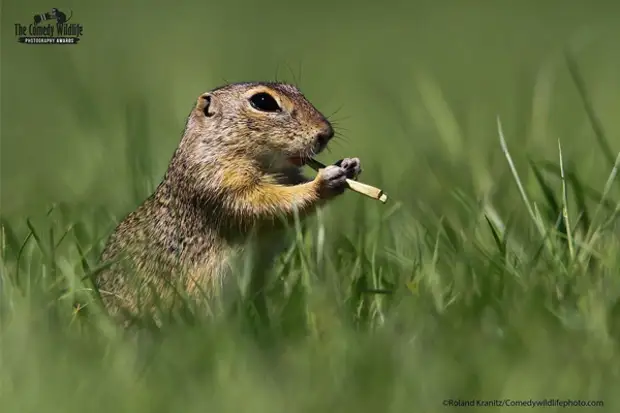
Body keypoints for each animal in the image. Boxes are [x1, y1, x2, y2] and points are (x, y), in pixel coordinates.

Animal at [94, 81, 360, 322]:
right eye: (263, 101)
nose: (326, 133)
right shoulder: (221, 184)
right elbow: (265, 202)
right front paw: (324, 181)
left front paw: (349, 165)